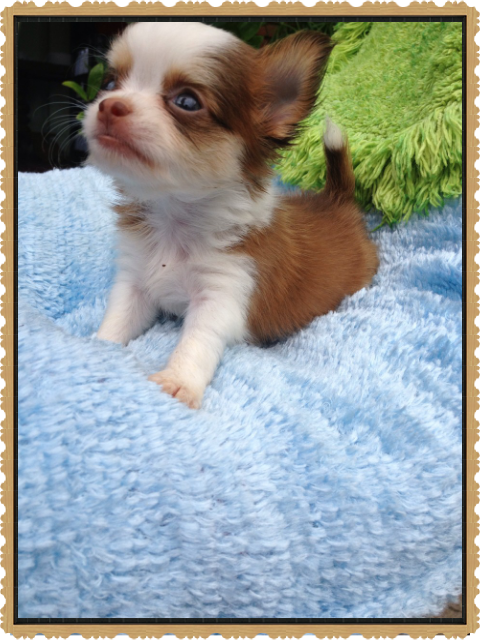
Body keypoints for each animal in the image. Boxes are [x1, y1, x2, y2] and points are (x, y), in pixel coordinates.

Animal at [83, 21, 378, 409]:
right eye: (110, 83)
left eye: (187, 102)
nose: (109, 105)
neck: (174, 218)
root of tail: (336, 199)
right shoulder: (135, 282)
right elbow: (117, 319)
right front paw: (98, 347)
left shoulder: (223, 291)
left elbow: (196, 341)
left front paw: (177, 382)